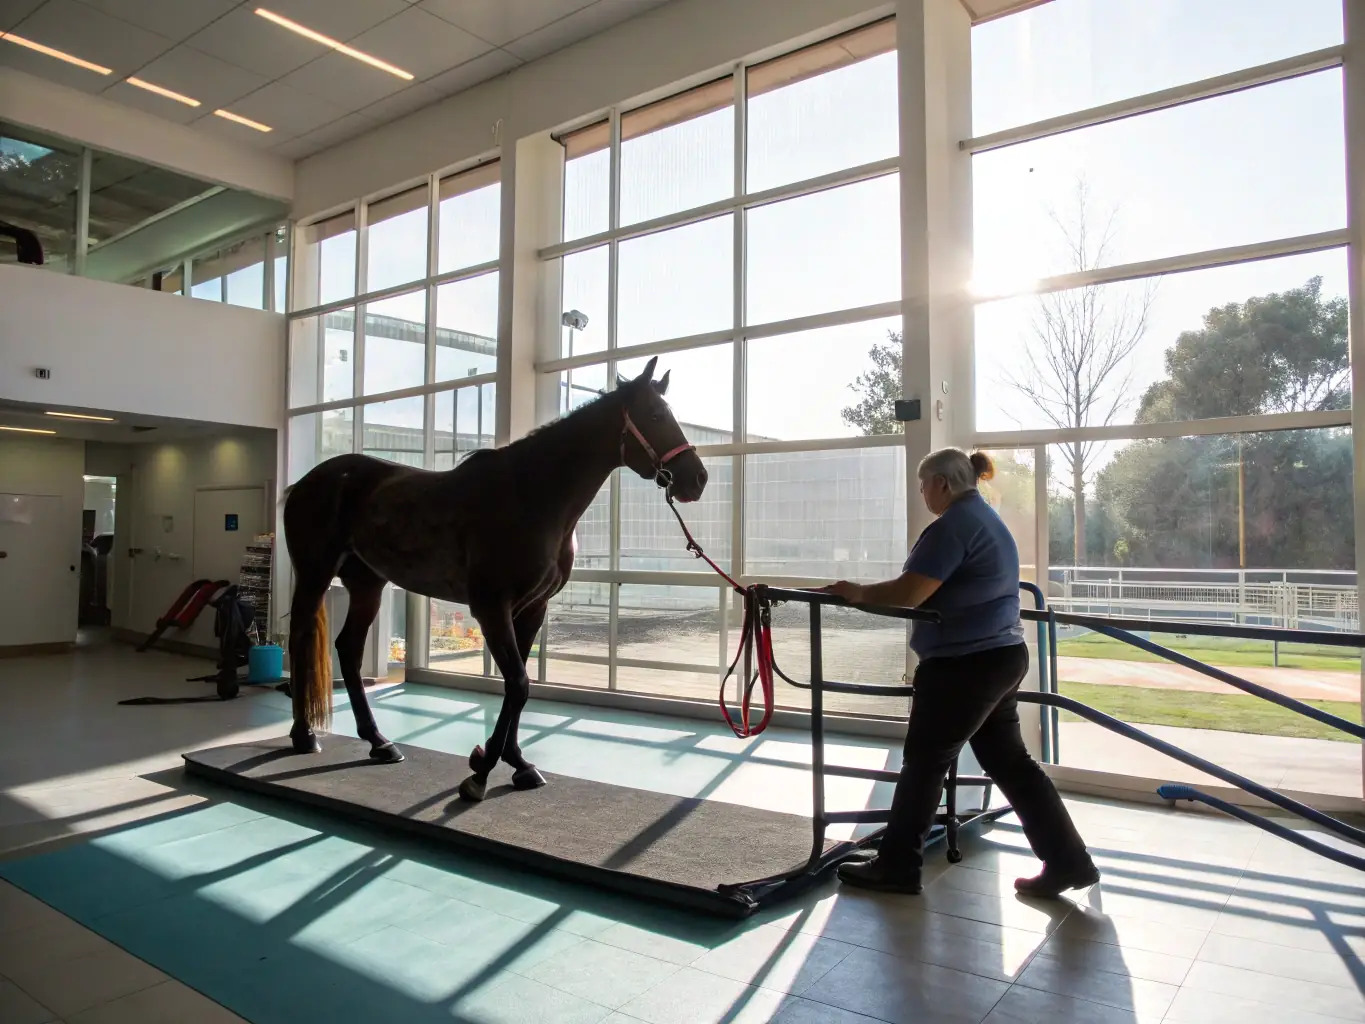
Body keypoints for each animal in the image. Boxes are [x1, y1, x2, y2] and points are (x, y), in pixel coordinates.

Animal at [282, 356, 707, 801]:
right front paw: (481, 771)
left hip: (368, 585)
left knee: (347, 648)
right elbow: (517, 683)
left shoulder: (532, 609)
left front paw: (514, 762)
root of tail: (307, 482)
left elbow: (518, 687)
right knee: (300, 639)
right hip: (314, 575)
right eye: (655, 415)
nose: (697, 478)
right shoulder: (491, 607)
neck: (531, 496)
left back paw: (379, 742)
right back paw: (304, 735)